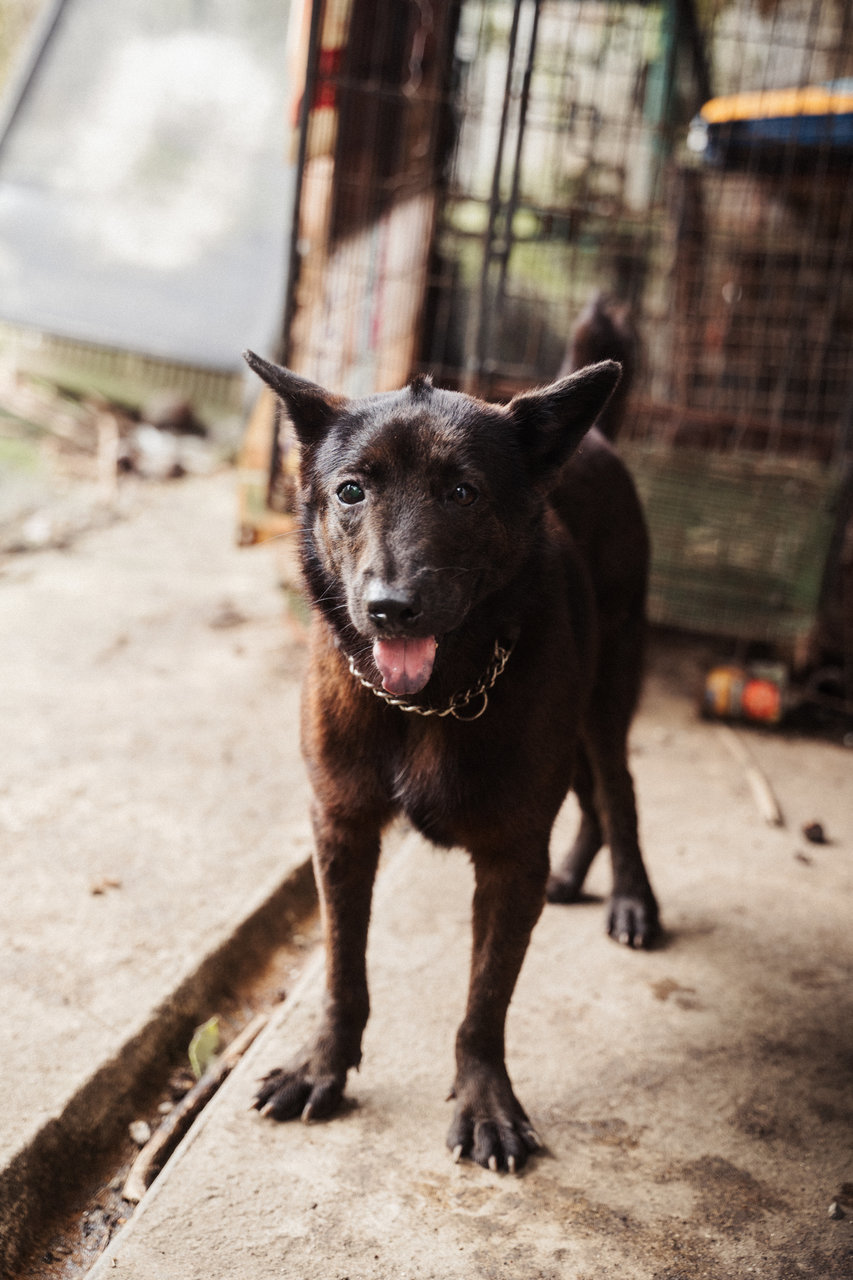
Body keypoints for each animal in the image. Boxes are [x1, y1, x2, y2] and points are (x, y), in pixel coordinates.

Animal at [242, 350, 653, 1172]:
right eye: (351, 490)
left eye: (462, 492)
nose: (390, 609)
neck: (428, 704)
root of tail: (591, 439)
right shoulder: (340, 830)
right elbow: (342, 972)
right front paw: (321, 1068)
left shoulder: (510, 858)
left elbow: (485, 998)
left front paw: (484, 1100)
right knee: (592, 798)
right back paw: (574, 874)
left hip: (605, 699)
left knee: (617, 790)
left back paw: (631, 898)